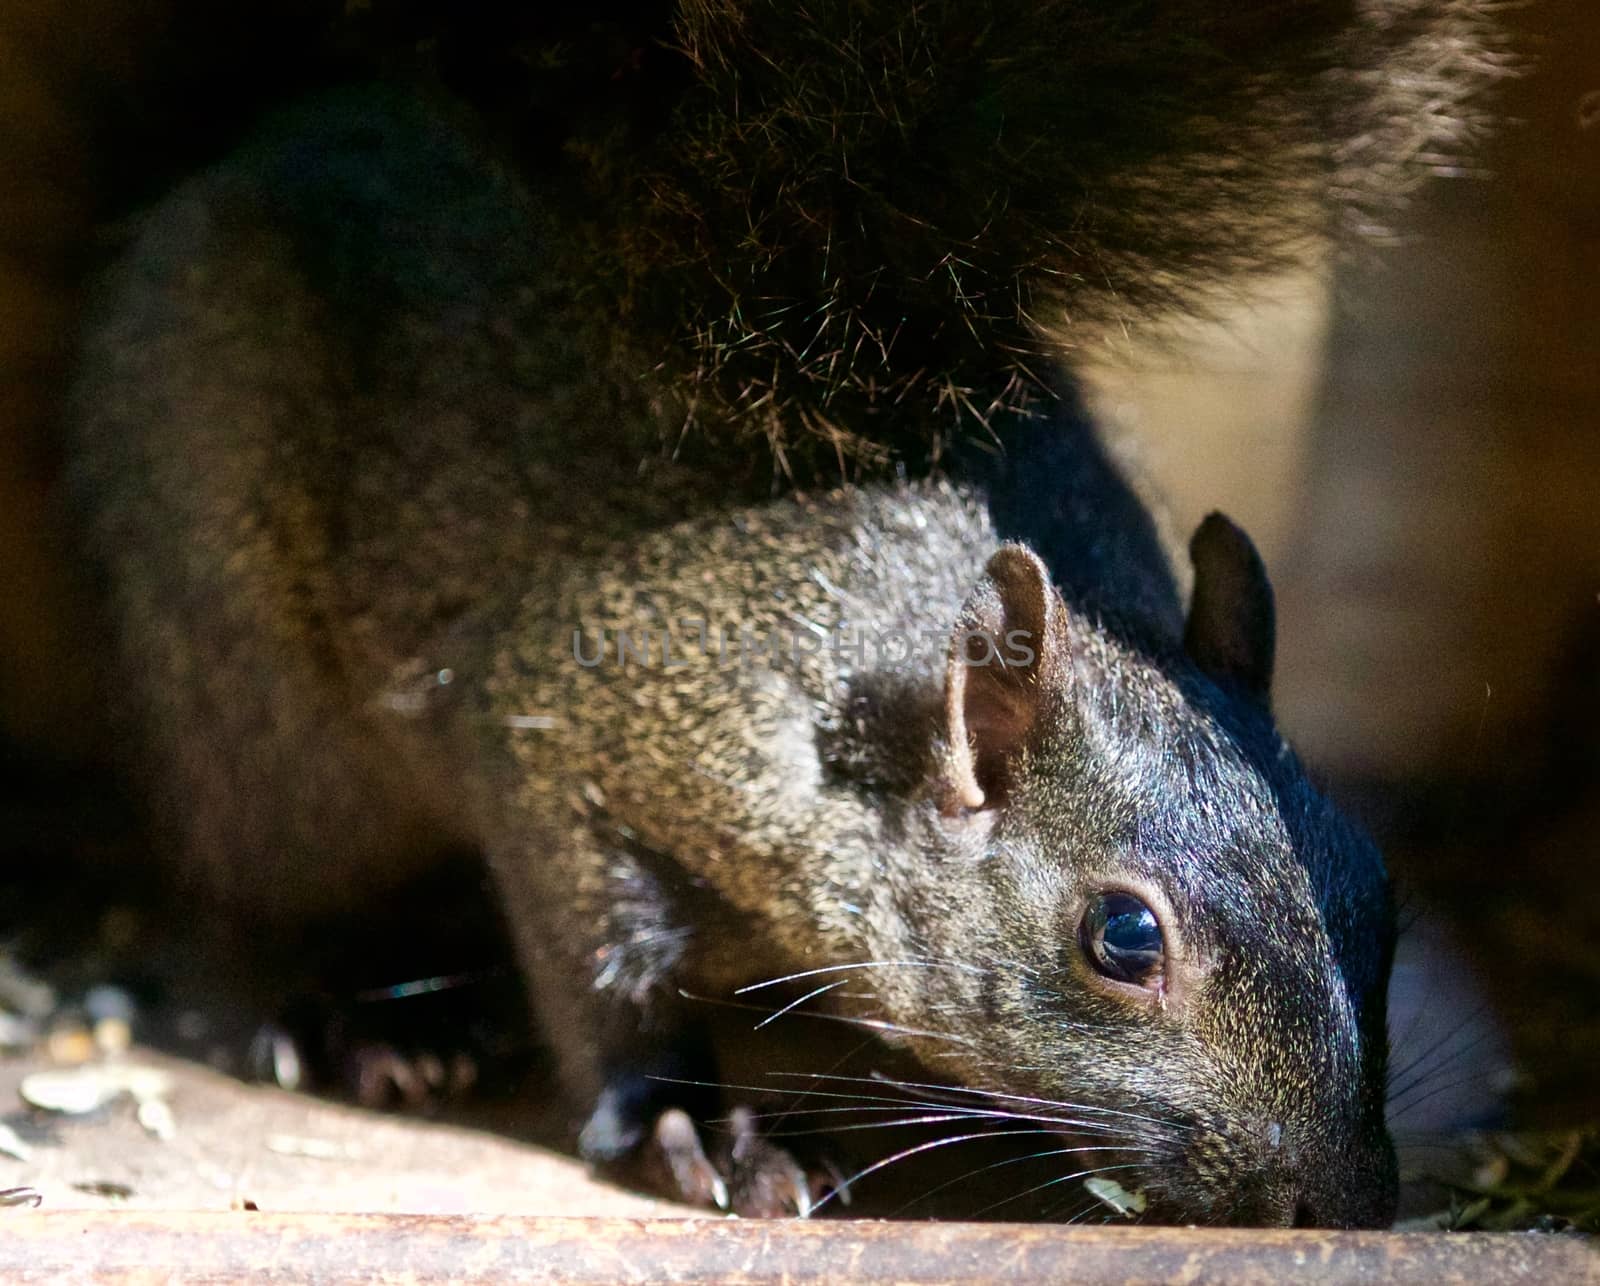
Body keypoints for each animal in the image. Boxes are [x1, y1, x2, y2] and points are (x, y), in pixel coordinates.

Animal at [53, 0, 1497, 1228]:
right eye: (1123, 936)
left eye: (1375, 888)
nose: (1345, 1201)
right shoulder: (571, 726)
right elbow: (602, 976)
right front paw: (696, 1127)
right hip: (253, 708)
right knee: (264, 882)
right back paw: (365, 1015)